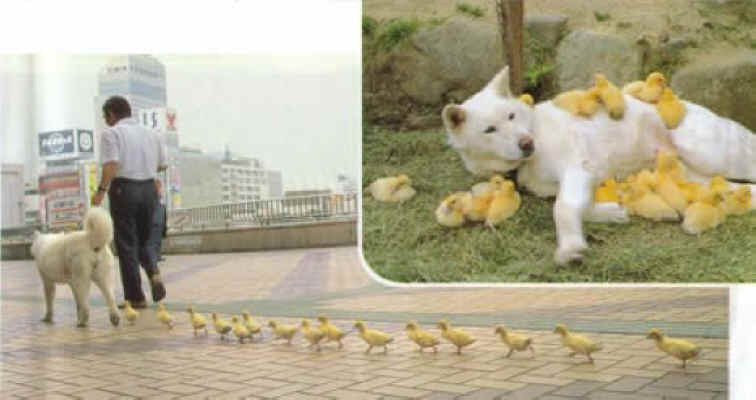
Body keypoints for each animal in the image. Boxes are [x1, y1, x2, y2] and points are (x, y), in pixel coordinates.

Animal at [442, 65, 756, 266]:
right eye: (490, 130)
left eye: (511, 116)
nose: (526, 143)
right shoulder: (579, 178)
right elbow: (583, 207)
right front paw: (613, 213)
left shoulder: (577, 168)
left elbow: (563, 208)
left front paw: (570, 247)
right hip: (699, 176)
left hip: (707, 152)